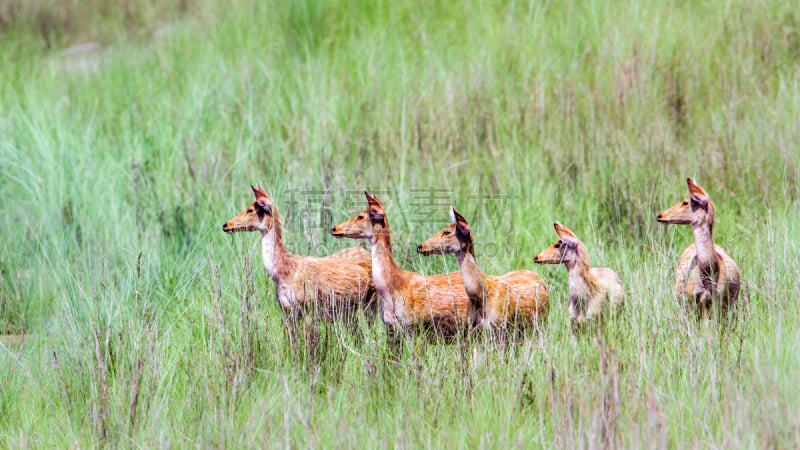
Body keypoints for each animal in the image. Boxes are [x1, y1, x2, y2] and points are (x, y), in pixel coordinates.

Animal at [223, 186, 376, 326]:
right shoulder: (286, 310)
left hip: (371, 301)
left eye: (250, 209)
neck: (283, 273)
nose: (226, 224)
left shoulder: (307, 306)